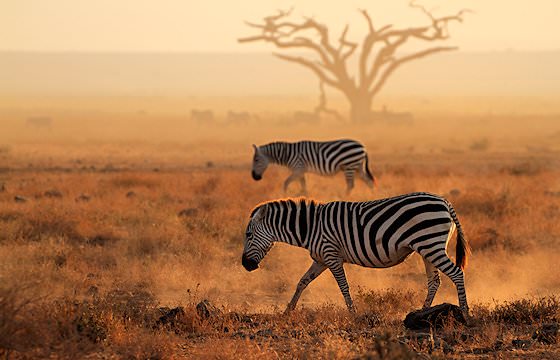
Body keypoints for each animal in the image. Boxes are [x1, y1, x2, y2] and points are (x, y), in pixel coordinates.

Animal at [243, 193, 470, 314]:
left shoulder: (332, 256)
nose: (246, 265)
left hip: (431, 244)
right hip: (427, 248)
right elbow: (302, 282)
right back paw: (422, 311)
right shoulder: (320, 260)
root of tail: (444, 202)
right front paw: (288, 310)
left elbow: (344, 286)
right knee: (434, 281)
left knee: (457, 273)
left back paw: (465, 312)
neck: (311, 227)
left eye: (248, 235)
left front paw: (353, 313)